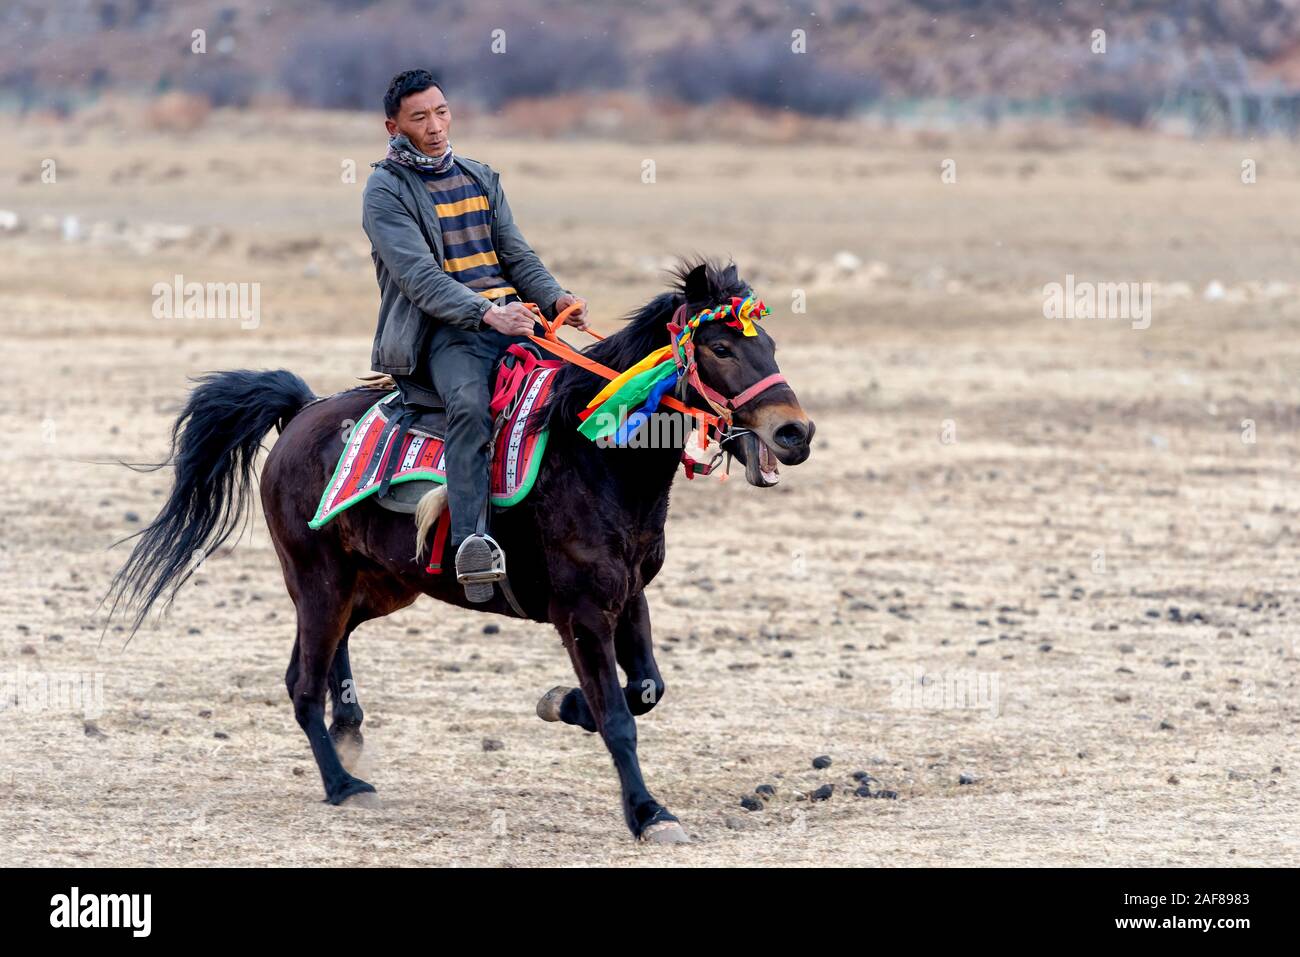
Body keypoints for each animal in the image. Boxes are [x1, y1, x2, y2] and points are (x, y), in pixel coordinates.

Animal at [104, 259, 815, 843]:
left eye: (769, 344)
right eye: (720, 347)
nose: (795, 433)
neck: (594, 456)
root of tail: (302, 413)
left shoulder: (628, 595)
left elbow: (643, 690)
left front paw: (561, 702)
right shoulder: (582, 612)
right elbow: (619, 717)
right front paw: (648, 814)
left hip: (378, 586)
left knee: (325, 657)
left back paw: (350, 731)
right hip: (319, 580)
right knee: (301, 682)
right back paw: (344, 784)